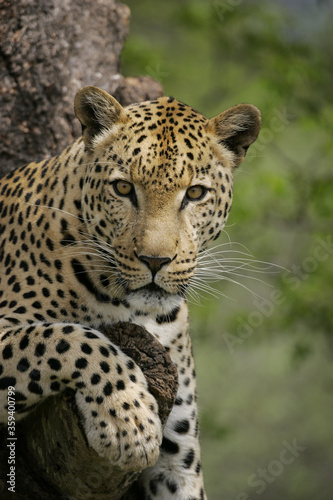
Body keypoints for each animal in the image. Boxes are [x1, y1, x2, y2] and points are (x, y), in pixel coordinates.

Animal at [0, 87, 260, 500]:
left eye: (195, 193)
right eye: (123, 188)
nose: (155, 260)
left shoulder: (180, 452)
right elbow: (65, 337)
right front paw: (129, 421)